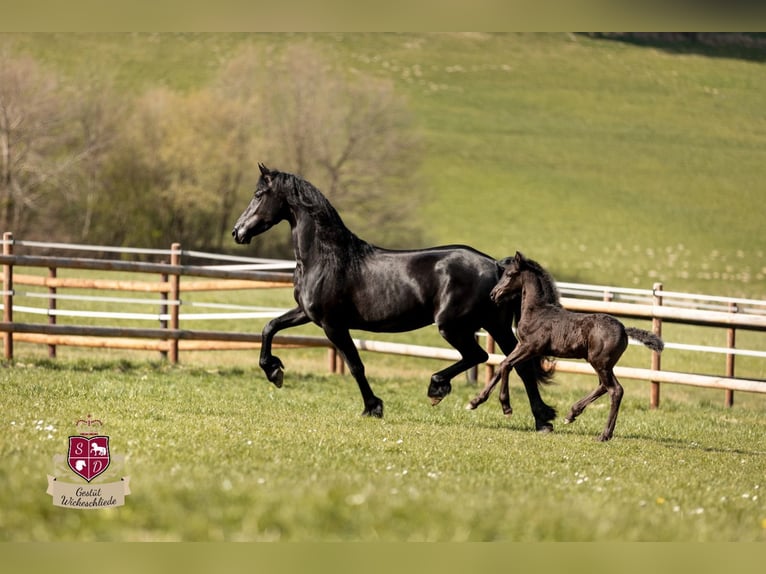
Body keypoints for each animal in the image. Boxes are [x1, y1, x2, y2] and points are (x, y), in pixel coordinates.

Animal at [232, 164, 556, 430]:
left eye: (259, 194)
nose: (237, 232)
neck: (326, 257)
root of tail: (495, 265)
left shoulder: (332, 324)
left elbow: (355, 365)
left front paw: (373, 407)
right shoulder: (307, 314)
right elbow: (270, 327)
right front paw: (274, 371)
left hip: (453, 326)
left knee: (479, 355)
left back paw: (437, 388)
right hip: (496, 325)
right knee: (519, 364)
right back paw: (543, 420)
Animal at [467, 251, 664, 441]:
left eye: (509, 274)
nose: (493, 294)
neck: (537, 312)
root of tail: (624, 329)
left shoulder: (531, 347)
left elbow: (506, 365)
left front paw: (506, 407)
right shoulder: (521, 346)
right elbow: (502, 366)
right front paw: (474, 402)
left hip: (599, 363)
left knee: (615, 390)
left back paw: (604, 435)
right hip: (603, 364)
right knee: (603, 386)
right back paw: (571, 414)